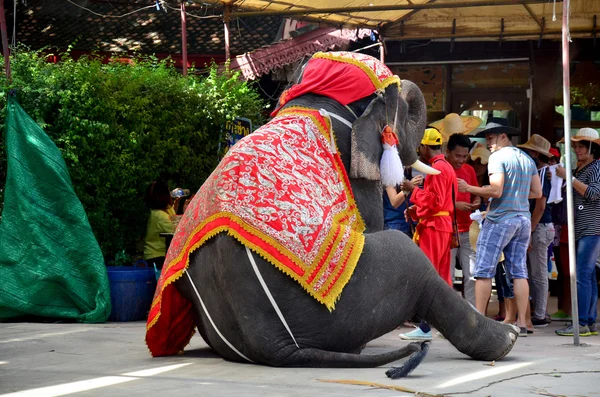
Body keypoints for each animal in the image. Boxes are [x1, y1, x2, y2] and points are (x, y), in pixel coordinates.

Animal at [146, 51, 520, 376]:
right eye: (399, 104)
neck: (316, 103)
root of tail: (272, 343)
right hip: (347, 303)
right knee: (412, 260)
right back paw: (507, 338)